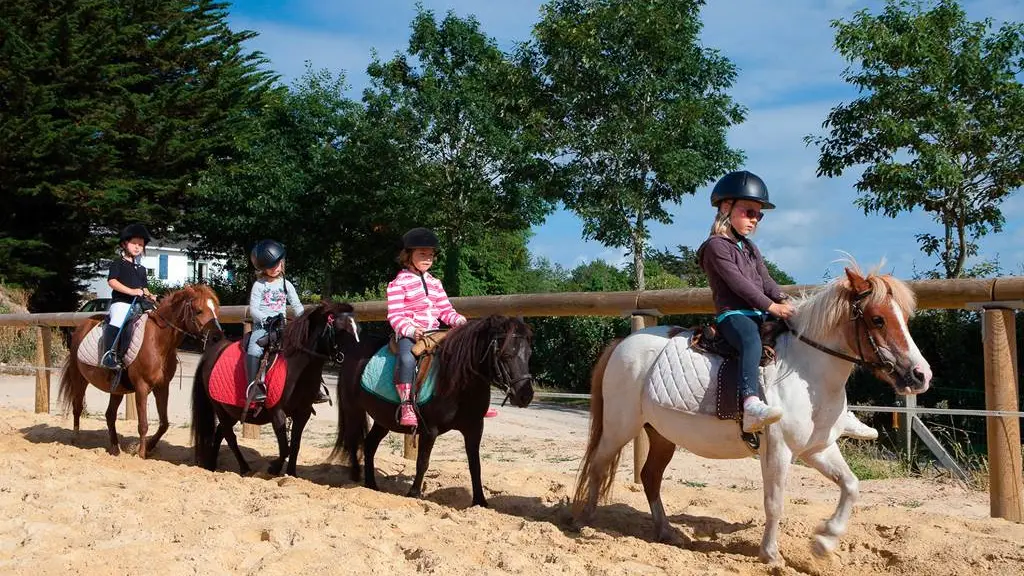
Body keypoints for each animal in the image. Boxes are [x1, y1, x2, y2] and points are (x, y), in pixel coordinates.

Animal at [58, 282, 222, 457]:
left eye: (216, 310)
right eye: (199, 310)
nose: (217, 338)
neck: (158, 341)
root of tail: (81, 326)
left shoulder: (162, 387)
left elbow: (164, 423)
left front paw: (148, 447)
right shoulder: (142, 388)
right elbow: (143, 424)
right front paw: (141, 454)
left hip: (116, 389)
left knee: (110, 415)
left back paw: (115, 448)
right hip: (79, 379)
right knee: (77, 407)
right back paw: (76, 440)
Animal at [192, 301, 360, 475]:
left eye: (358, 329)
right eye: (341, 330)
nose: (356, 356)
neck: (296, 367)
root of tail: (211, 353)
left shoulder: (303, 412)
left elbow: (295, 446)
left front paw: (291, 474)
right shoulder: (277, 412)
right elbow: (285, 448)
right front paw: (273, 468)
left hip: (231, 410)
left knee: (220, 433)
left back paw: (211, 465)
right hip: (219, 408)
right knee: (229, 436)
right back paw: (244, 468)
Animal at [331, 315, 536, 504]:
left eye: (529, 354)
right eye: (506, 355)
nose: (525, 395)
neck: (457, 382)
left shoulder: (475, 428)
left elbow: (475, 465)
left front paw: (480, 502)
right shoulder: (429, 430)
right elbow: (422, 462)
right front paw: (413, 494)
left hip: (383, 419)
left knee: (369, 444)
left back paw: (371, 485)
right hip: (353, 411)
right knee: (353, 441)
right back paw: (356, 477)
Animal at [573, 264, 933, 561]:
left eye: (904, 318)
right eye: (877, 319)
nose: (921, 375)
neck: (807, 371)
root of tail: (622, 343)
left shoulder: (817, 448)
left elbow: (851, 485)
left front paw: (824, 542)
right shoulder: (778, 449)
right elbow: (774, 502)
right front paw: (771, 555)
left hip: (661, 434)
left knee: (649, 477)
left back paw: (666, 532)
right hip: (620, 426)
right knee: (598, 465)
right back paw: (584, 522)